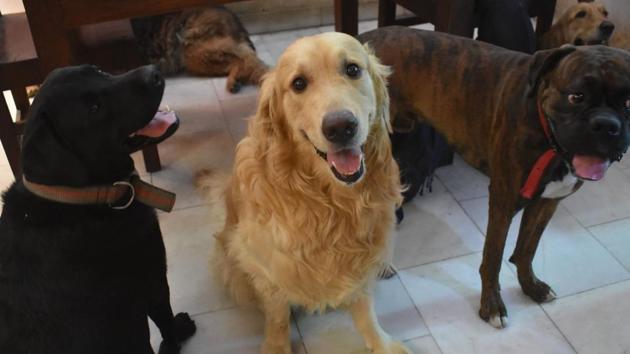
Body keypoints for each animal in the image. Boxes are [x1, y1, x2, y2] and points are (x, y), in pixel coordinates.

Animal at [0, 65, 195, 352]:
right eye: (93, 108)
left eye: (98, 70)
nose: (154, 73)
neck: (79, 197)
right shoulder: (154, 279)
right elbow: (165, 322)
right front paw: (179, 331)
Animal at [200, 33, 410, 354]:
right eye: (298, 83)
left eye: (352, 69)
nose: (341, 127)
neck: (331, 203)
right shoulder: (266, 265)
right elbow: (277, 314)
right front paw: (277, 346)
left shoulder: (361, 256)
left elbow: (365, 308)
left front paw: (381, 343)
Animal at [362, 27, 630, 330]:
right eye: (576, 96)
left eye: (629, 103)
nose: (606, 125)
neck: (545, 130)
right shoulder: (503, 202)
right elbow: (494, 257)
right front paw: (491, 305)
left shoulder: (548, 202)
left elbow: (527, 249)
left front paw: (530, 286)